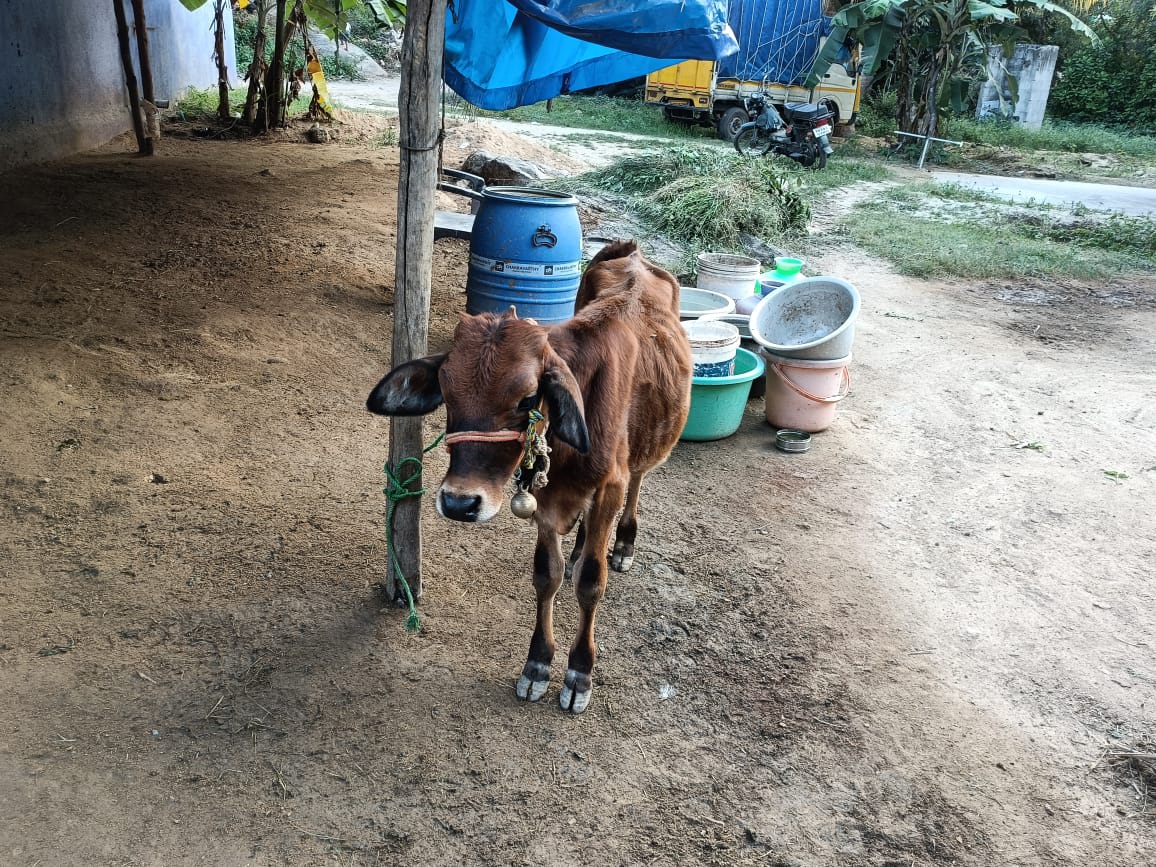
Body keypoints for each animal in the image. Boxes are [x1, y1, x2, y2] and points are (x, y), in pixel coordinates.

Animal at [366, 240, 692, 714]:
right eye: (446, 392)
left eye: (526, 398)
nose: (460, 502)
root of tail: (632, 253)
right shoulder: (545, 503)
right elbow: (546, 575)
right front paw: (537, 664)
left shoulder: (609, 486)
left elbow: (593, 583)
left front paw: (579, 673)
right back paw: (578, 552)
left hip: (645, 454)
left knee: (637, 484)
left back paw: (624, 543)